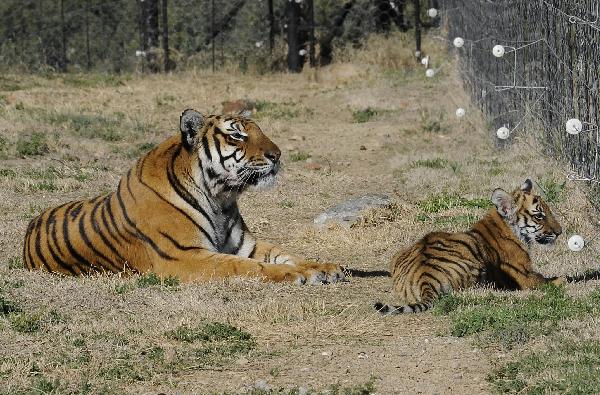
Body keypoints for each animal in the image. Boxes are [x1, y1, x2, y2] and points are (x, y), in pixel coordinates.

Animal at [23, 109, 344, 284]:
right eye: (237, 135)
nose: (277, 155)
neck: (220, 197)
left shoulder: (245, 245)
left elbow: (286, 254)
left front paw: (325, 267)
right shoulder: (185, 256)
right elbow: (247, 266)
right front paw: (295, 275)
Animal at [378, 180, 564, 316]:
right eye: (539, 216)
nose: (560, 232)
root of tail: (426, 278)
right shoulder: (526, 276)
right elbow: (550, 280)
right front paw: (563, 279)